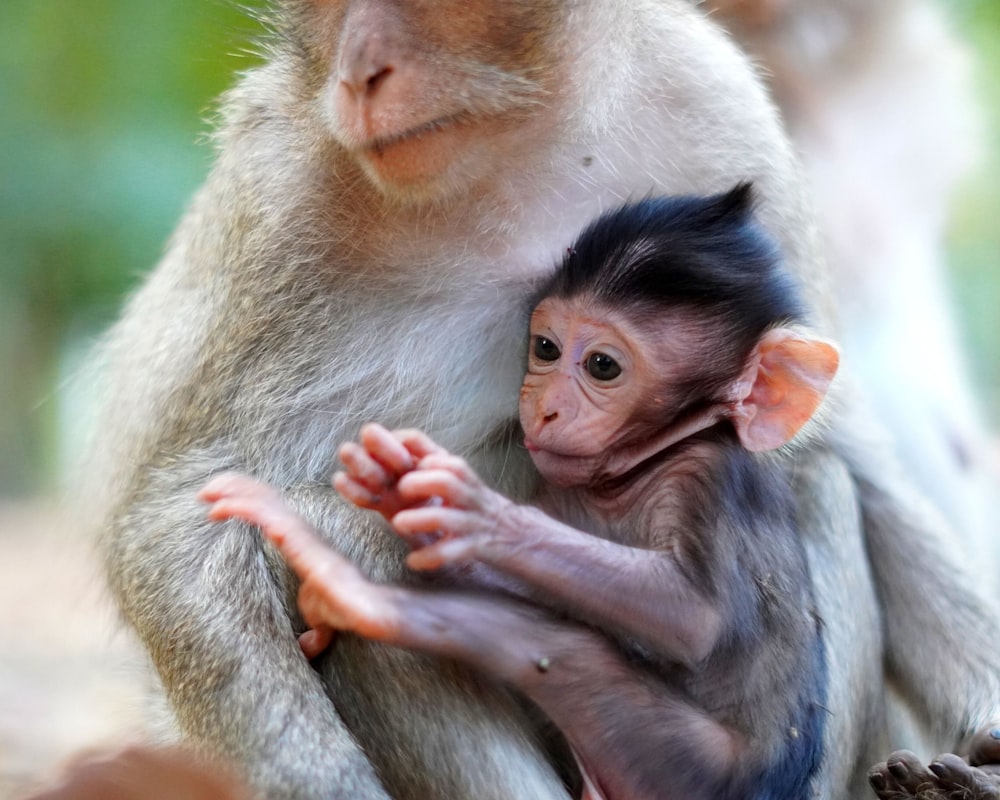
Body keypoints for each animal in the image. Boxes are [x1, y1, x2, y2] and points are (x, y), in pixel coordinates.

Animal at [203, 186, 836, 800]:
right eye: (546, 348)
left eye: (602, 366)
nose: (544, 405)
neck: (635, 472)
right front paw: (420, 510)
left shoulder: (708, 478)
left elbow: (696, 615)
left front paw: (477, 515)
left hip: (687, 768)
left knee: (573, 656)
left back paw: (360, 595)